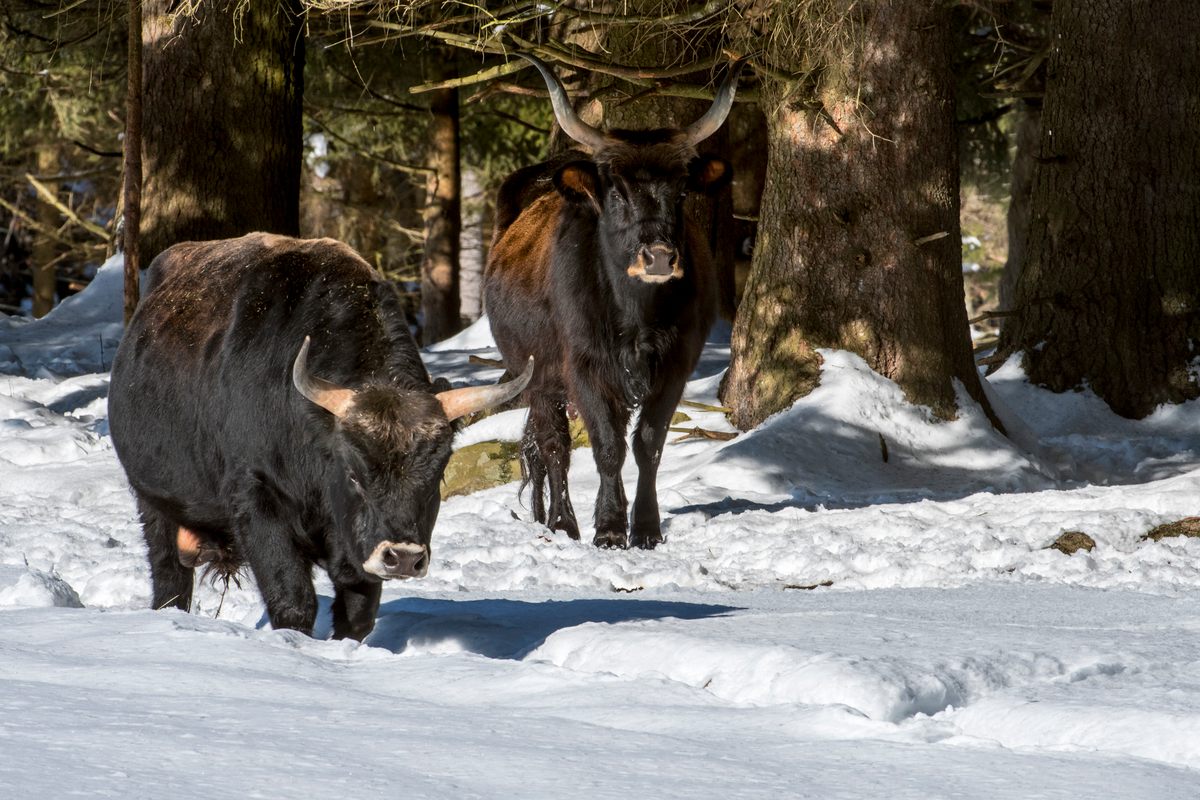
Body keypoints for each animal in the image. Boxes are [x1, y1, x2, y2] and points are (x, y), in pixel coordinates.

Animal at [482, 54, 744, 551]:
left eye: (682, 192)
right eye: (617, 193)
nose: (659, 256)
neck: (637, 315)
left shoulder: (675, 365)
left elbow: (648, 443)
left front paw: (645, 528)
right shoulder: (584, 365)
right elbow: (605, 445)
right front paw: (606, 527)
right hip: (537, 372)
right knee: (553, 445)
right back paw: (561, 522)